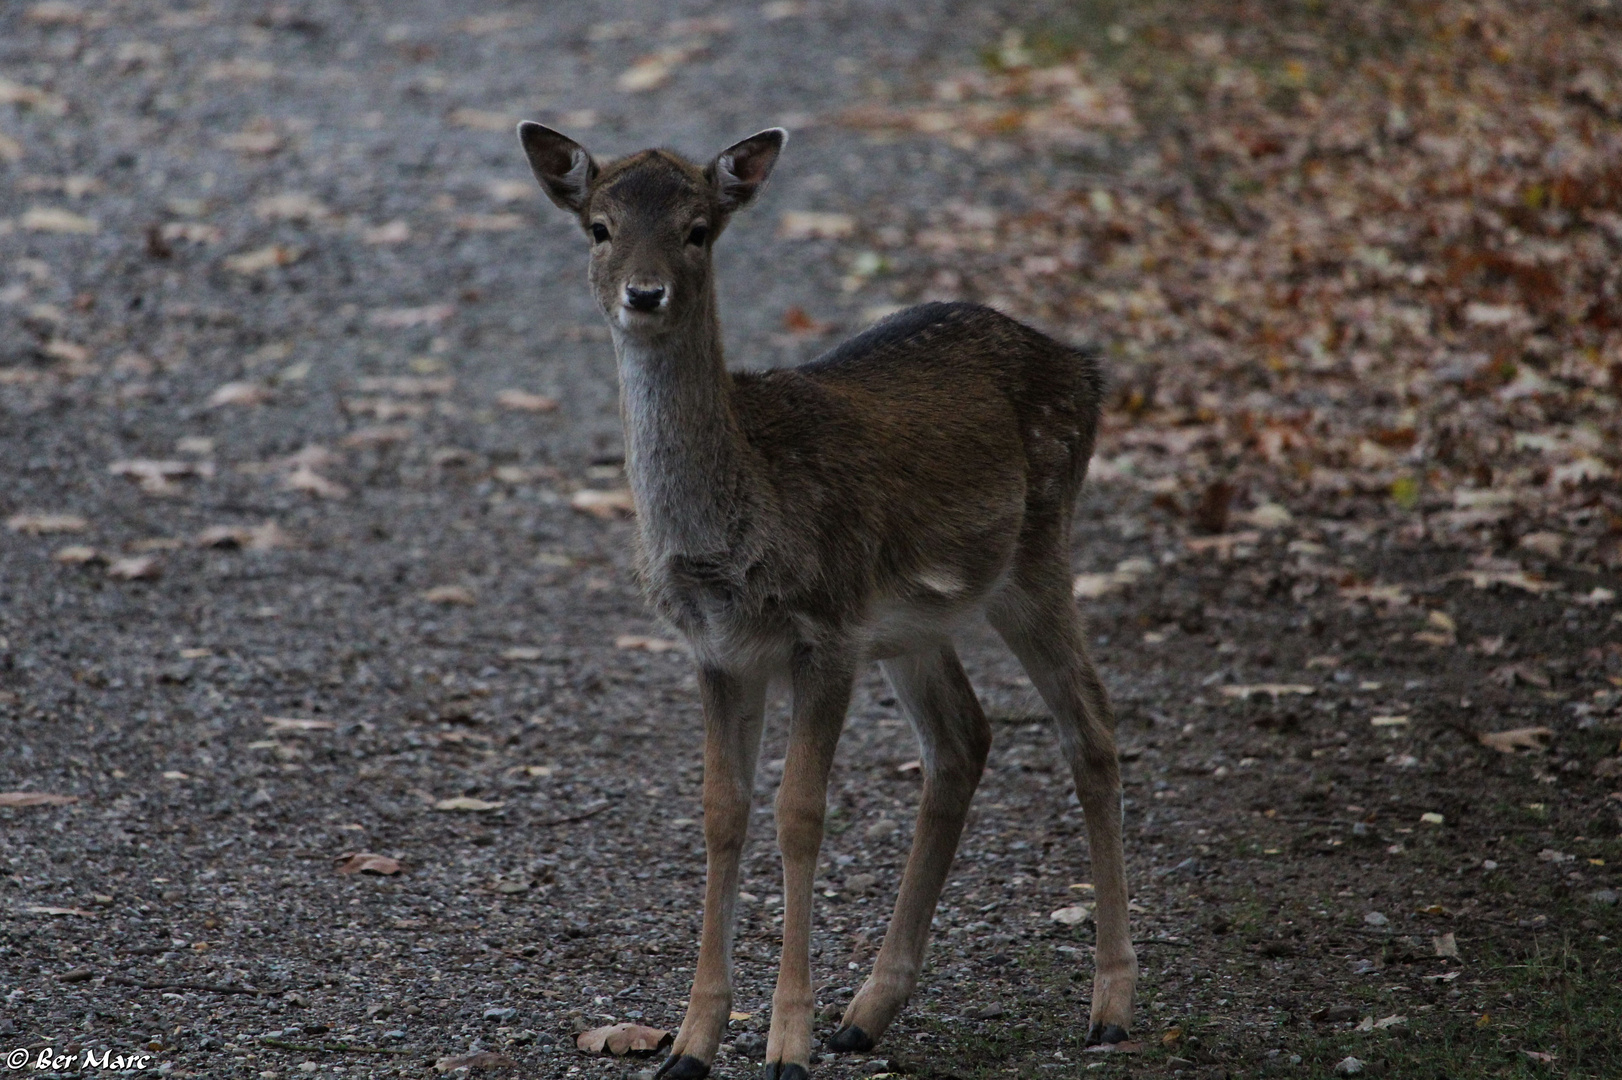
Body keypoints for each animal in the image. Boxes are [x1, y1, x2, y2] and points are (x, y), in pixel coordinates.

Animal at [522, 120, 1141, 1076]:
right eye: (599, 227)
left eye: (697, 230)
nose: (645, 292)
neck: (735, 527)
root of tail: (1087, 367)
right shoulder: (717, 651)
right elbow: (722, 813)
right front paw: (690, 1044)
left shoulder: (828, 630)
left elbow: (800, 814)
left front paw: (787, 1042)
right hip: (917, 623)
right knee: (963, 738)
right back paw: (869, 1011)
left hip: (1035, 552)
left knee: (1092, 725)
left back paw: (1110, 1004)